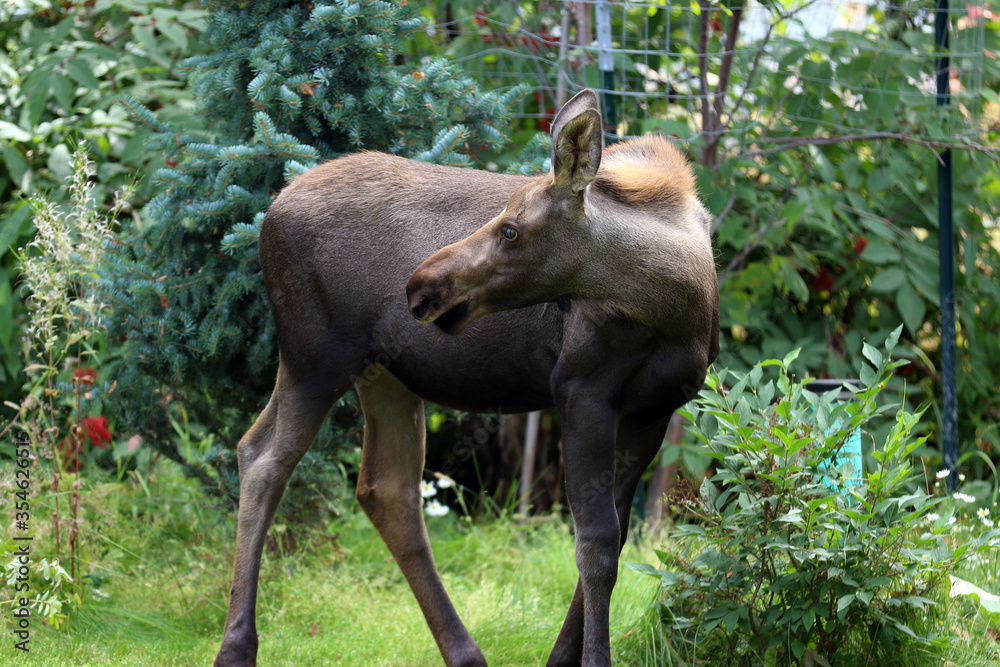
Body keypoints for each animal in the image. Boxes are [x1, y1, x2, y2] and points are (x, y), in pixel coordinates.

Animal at [214, 89, 719, 667]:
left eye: (510, 229)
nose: (421, 283)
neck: (679, 308)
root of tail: (270, 211)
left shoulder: (653, 410)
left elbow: (614, 537)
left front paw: (563, 657)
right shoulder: (581, 390)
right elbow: (594, 545)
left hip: (384, 373)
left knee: (386, 488)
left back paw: (463, 651)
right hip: (314, 359)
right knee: (264, 459)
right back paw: (236, 647)